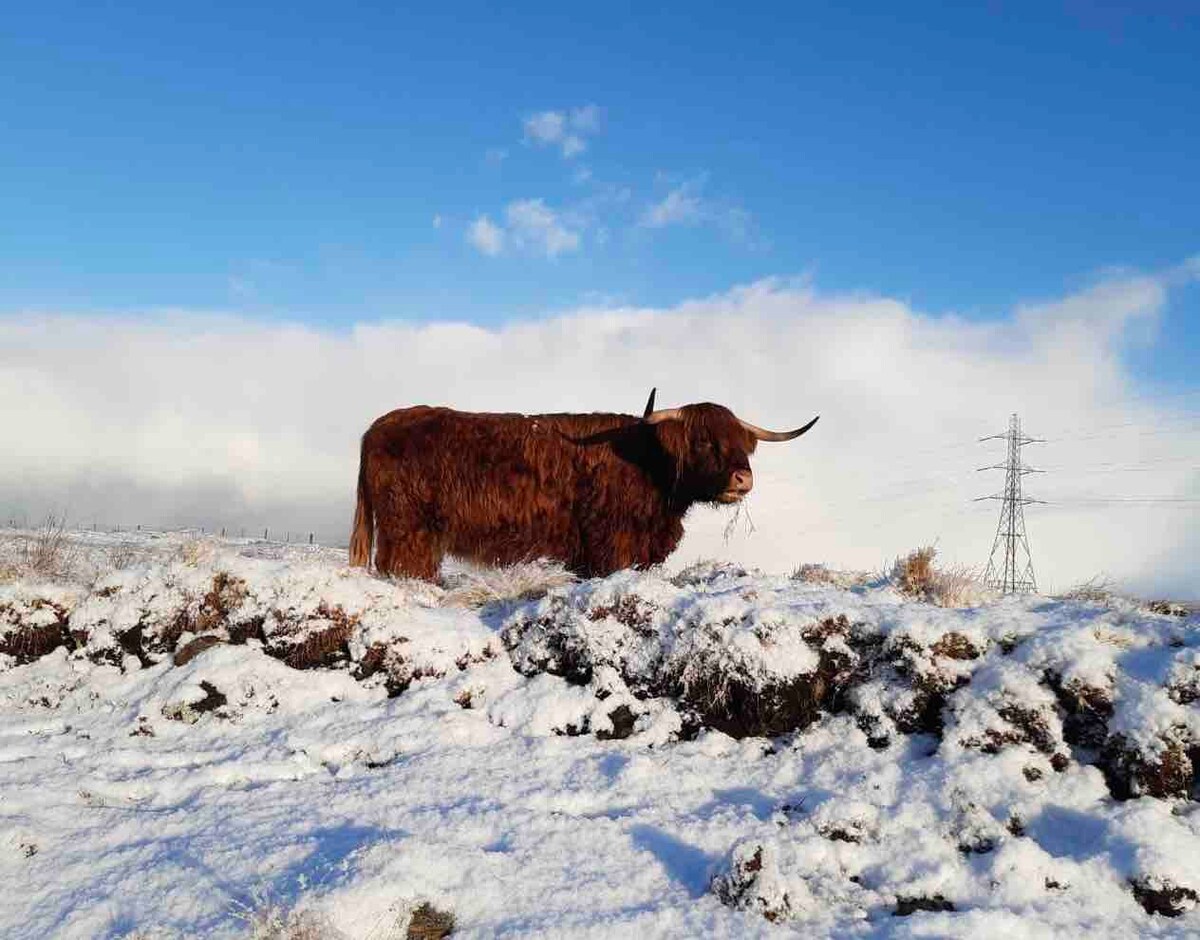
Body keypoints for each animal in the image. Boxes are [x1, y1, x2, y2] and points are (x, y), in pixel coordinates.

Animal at [348, 388, 816, 581]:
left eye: (743, 445)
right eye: (704, 440)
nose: (743, 478)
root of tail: (376, 428)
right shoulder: (614, 544)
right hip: (408, 529)